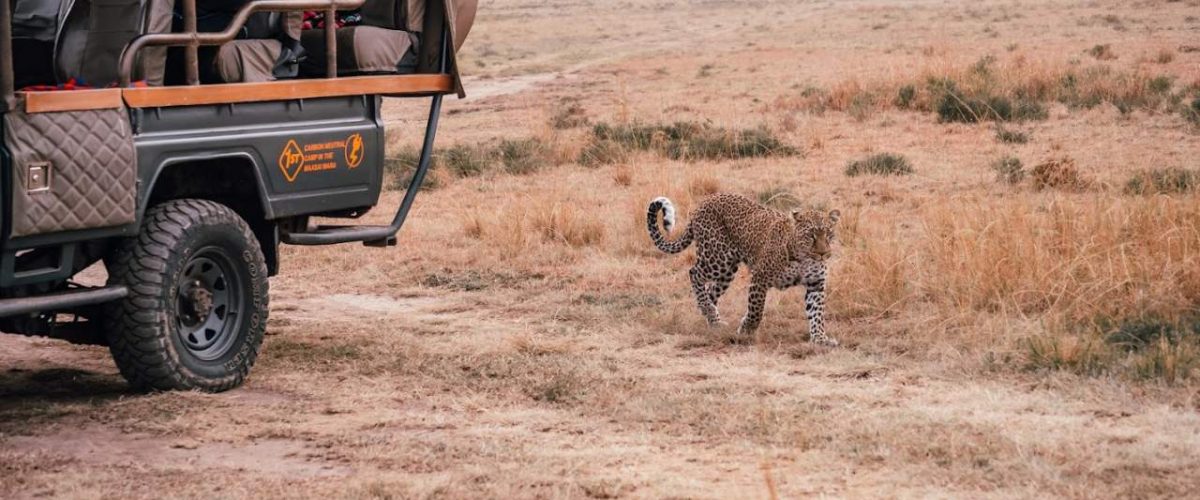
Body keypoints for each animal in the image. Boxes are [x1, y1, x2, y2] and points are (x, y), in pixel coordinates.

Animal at [648, 193, 844, 345]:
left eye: (829, 234)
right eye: (811, 235)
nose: (823, 254)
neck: (803, 259)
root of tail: (705, 202)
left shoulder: (816, 283)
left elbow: (817, 314)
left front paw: (820, 339)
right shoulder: (760, 277)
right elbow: (756, 310)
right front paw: (746, 329)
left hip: (727, 270)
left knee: (710, 290)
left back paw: (712, 319)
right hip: (717, 258)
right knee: (694, 273)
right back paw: (709, 311)